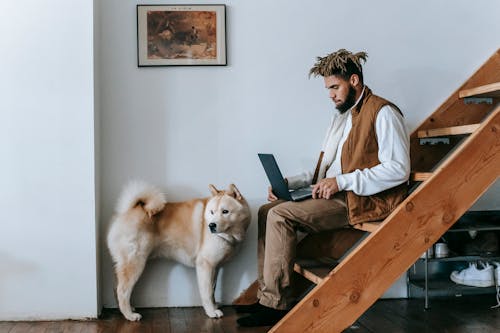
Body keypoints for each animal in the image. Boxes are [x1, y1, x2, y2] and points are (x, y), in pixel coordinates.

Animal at [107, 180, 252, 320]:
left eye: (225, 211)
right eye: (212, 212)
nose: (211, 225)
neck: (230, 235)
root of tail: (127, 211)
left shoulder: (215, 267)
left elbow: (213, 289)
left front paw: (215, 305)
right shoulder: (205, 265)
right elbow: (207, 292)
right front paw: (211, 311)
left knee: (116, 288)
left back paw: (127, 309)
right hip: (135, 263)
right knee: (122, 291)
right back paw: (129, 315)